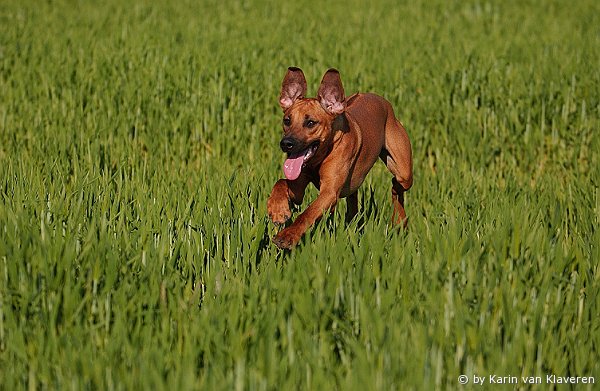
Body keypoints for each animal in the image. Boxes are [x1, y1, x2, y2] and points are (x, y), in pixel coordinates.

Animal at [268, 68, 412, 250]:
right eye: (287, 120)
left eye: (310, 123)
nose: (286, 144)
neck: (319, 158)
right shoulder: (299, 186)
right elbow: (281, 183)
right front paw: (278, 210)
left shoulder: (329, 192)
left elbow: (308, 213)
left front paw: (288, 235)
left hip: (404, 172)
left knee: (396, 186)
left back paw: (399, 219)